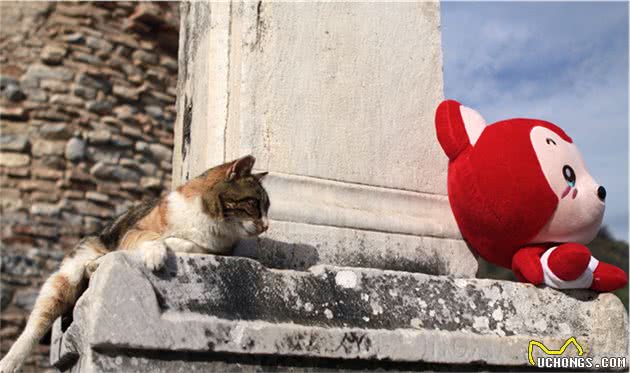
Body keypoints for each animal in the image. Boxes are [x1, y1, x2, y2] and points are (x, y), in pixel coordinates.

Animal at [0, 154, 270, 372]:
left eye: (267, 207)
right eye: (254, 204)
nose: (267, 226)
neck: (209, 220)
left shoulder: (219, 250)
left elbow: (189, 244)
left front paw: (173, 244)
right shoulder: (135, 230)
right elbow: (151, 237)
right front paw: (155, 254)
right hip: (65, 276)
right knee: (37, 322)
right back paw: (9, 362)